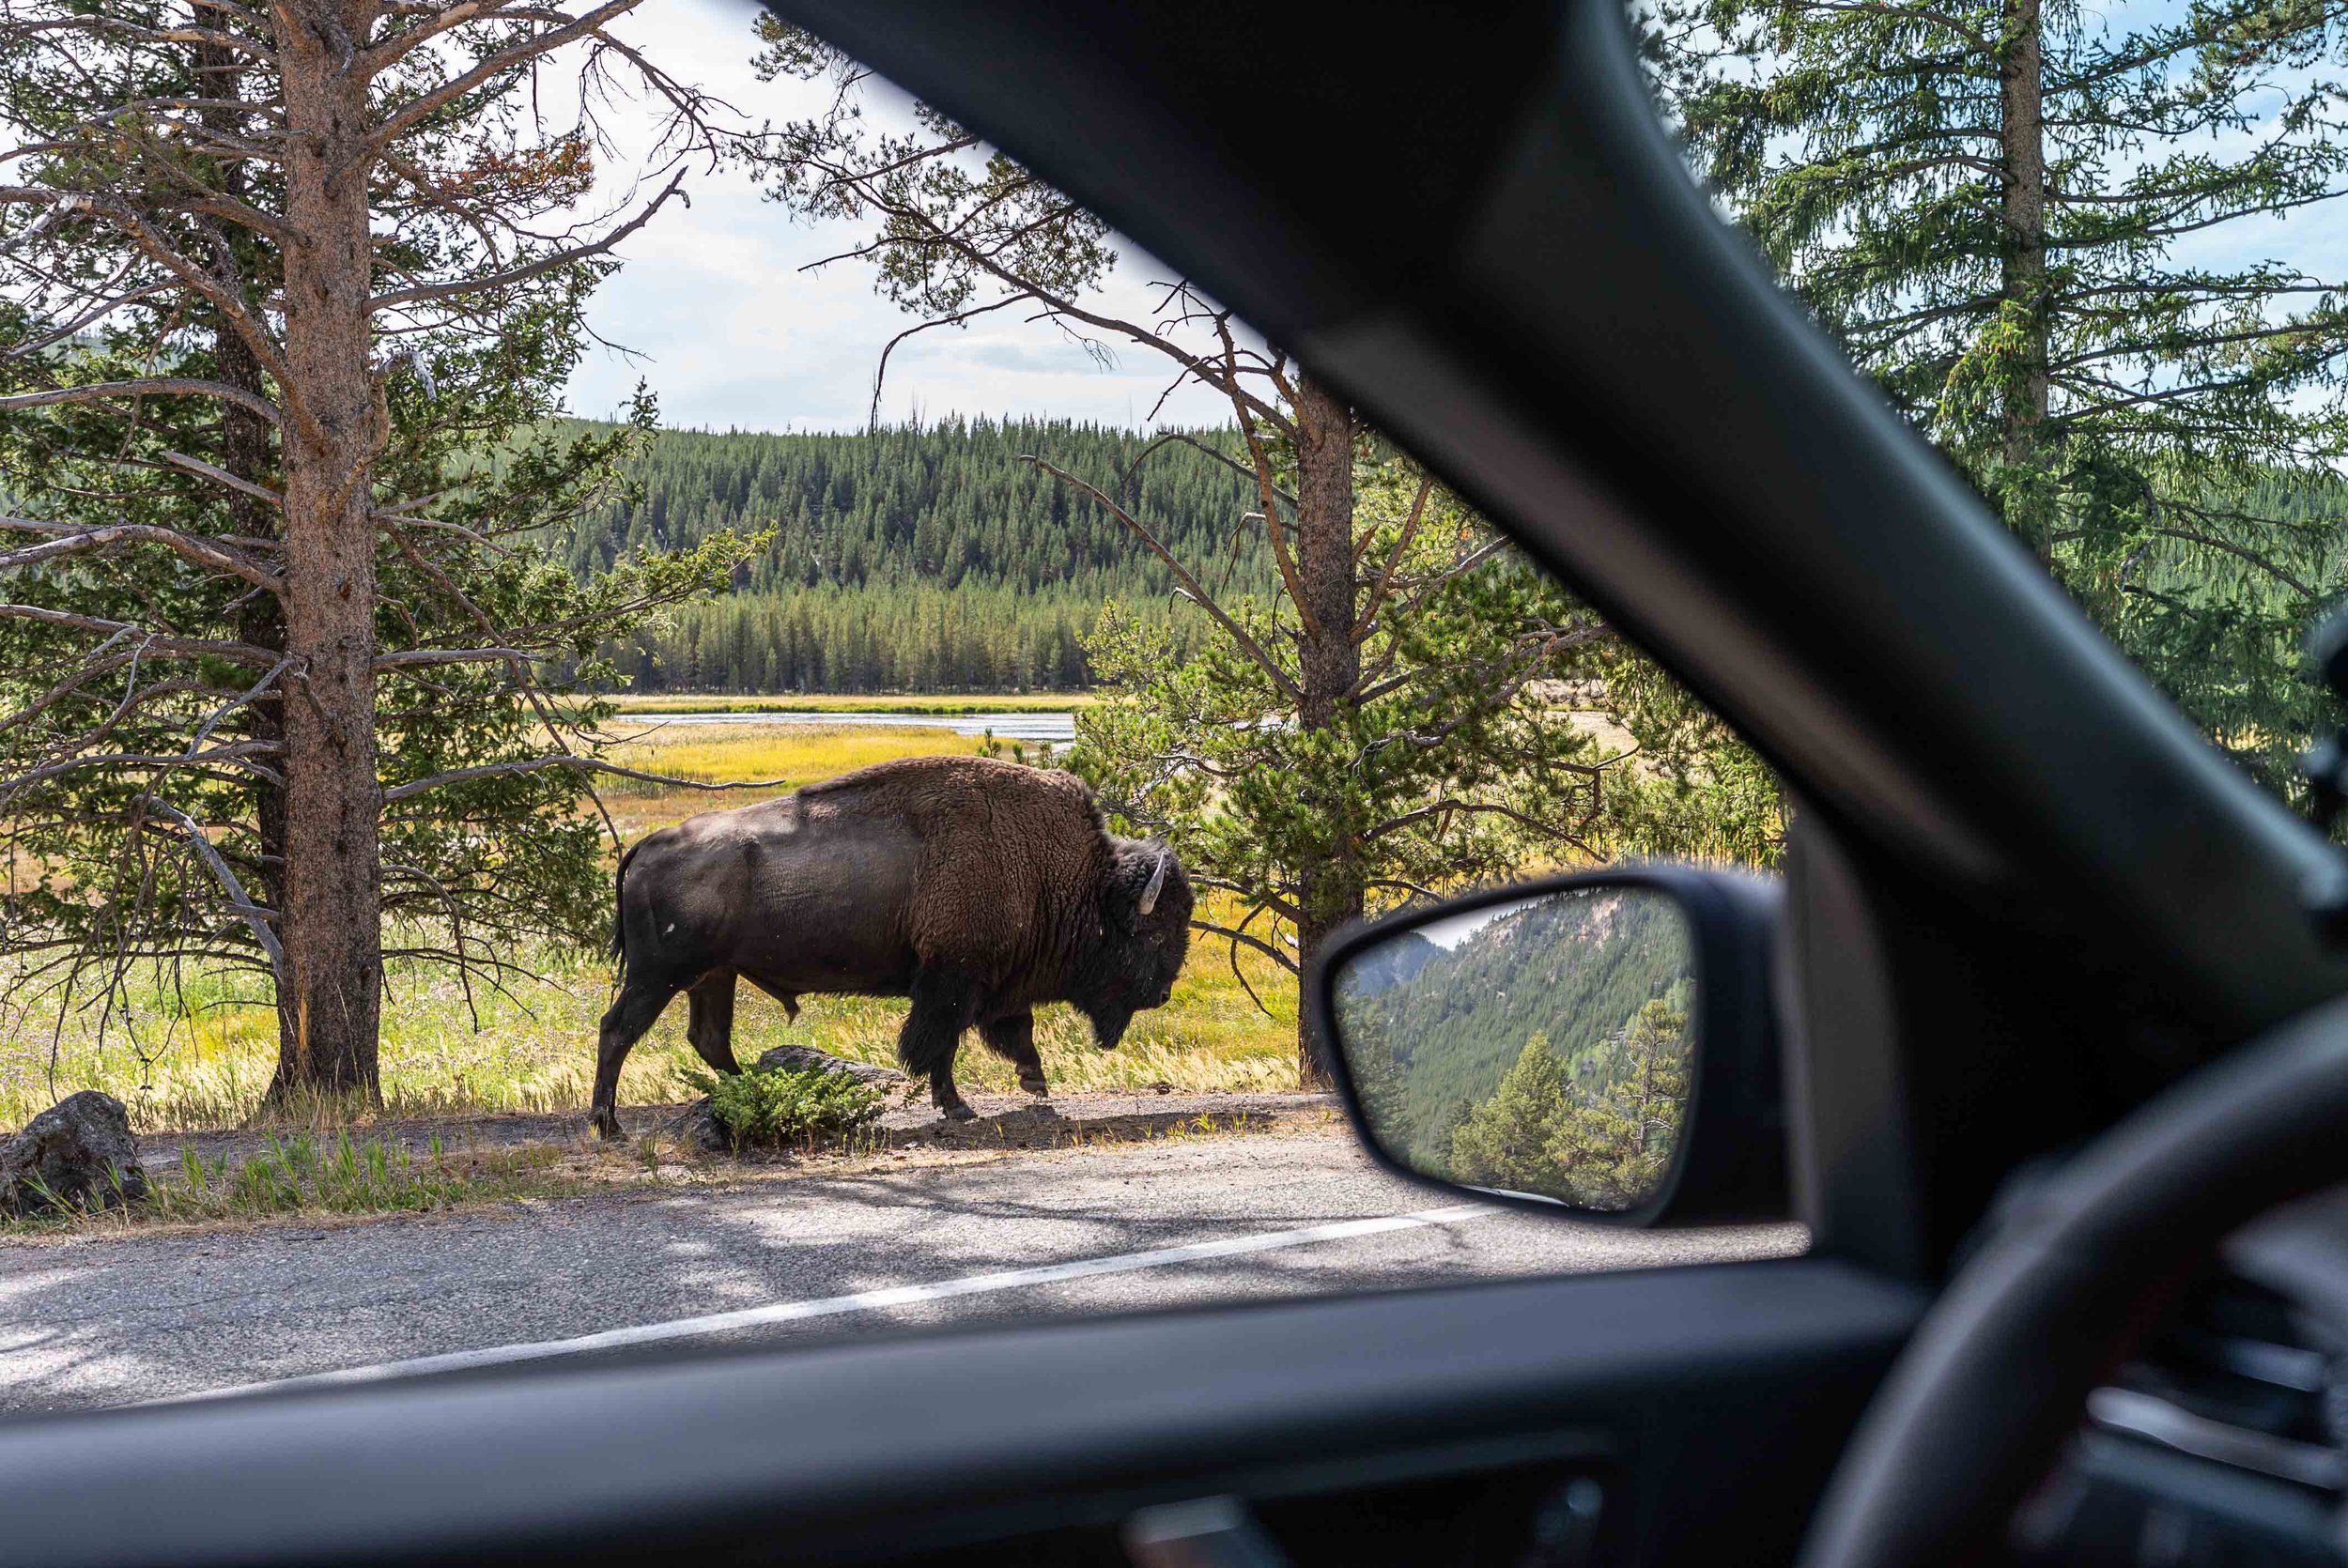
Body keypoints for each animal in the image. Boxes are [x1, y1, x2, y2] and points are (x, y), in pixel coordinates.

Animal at [590, 755, 1192, 1138]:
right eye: (1154, 932)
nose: (1163, 994)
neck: (1064, 874)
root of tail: (643, 845)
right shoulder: (952, 979)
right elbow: (938, 1044)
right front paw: (958, 1107)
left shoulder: (995, 981)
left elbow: (1013, 1034)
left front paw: (1034, 1084)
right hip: (659, 975)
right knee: (618, 1030)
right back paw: (609, 1125)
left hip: (714, 976)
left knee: (709, 1038)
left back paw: (752, 1095)